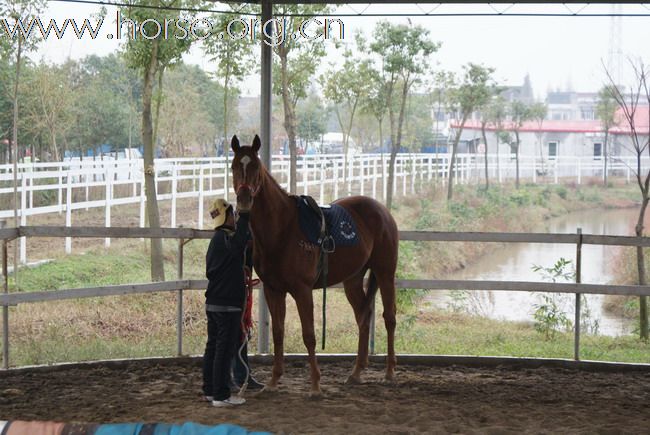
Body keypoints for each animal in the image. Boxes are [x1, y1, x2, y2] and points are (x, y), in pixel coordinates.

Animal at [230, 135, 398, 396]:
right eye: (234, 166)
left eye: (256, 166)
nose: (244, 200)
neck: (282, 229)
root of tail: (382, 211)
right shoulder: (273, 290)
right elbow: (278, 333)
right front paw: (273, 381)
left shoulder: (302, 290)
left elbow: (309, 335)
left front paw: (316, 384)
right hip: (352, 280)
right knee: (363, 316)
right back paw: (356, 372)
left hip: (385, 273)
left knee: (389, 317)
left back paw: (389, 372)